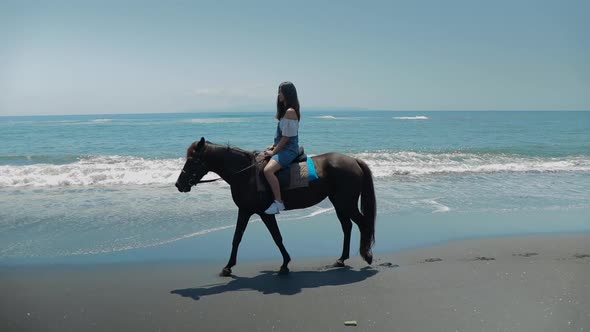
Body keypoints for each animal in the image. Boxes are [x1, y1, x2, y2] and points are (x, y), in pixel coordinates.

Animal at [177, 138, 380, 278]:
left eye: (193, 160)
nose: (179, 184)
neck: (246, 174)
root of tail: (353, 160)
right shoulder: (245, 211)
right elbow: (236, 238)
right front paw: (228, 267)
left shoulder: (265, 213)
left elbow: (277, 237)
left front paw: (285, 264)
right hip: (339, 203)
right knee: (347, 226)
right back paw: (341, 259)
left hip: (346, 203)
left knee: (363, 224)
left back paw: (367, 256)